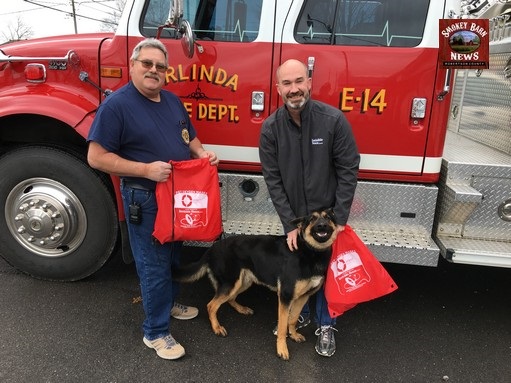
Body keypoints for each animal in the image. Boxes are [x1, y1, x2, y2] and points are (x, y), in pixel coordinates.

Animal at [175, 208, 340, 362]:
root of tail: (212, 248)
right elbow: (282, 327)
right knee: (211, 305)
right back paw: (217, 328)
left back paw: (242, 309)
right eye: (312, 219)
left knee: (229, 299)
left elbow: (292, 319)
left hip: (243, 282)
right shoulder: (285, 297)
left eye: (327, 217)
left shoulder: (302, 297)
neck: (311, 251)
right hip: (231, 284)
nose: (322, 226)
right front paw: (282, 349)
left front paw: (293, 334)